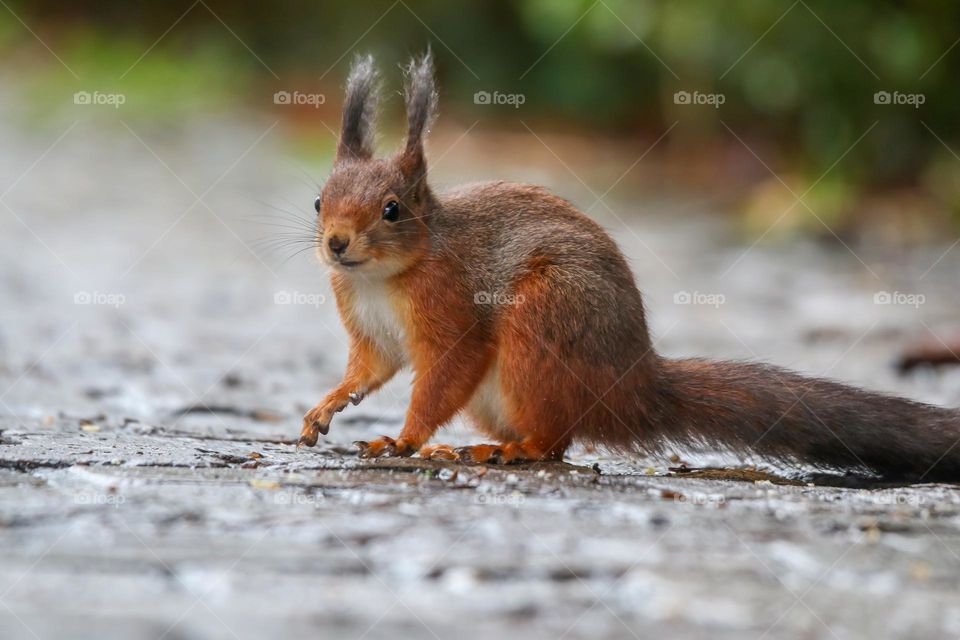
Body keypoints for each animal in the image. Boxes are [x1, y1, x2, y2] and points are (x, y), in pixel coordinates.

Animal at [300, 53, 960, 480]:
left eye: (392, 209)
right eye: (318, 201)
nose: (336, 244)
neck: (380, 279)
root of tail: (631, 384)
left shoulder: (455, 310)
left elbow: (443, 374)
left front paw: (403, 438)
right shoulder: (370, 331)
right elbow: (370, 369)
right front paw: (326, 405)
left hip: (545, 318)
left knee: (555, 440)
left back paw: (504, 451)